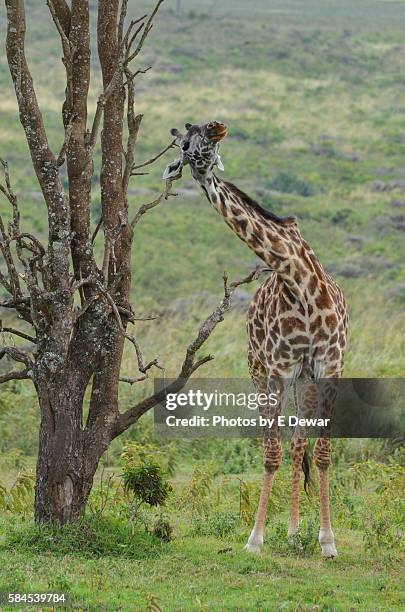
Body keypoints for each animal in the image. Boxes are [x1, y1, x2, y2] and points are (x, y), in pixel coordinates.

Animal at [163, 119, 348, 556]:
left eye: (203, 143)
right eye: (182, 146)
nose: (192, 167)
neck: (298, 279)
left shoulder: (330, 365)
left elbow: (323, 452)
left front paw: (328, 541)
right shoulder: (278, 367)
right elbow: (270, 453)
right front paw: (255, 538)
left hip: (305, 376)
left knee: (299, 442)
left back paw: (298, 532)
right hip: (260, 367)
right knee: (281, 444)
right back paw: (288, 532)